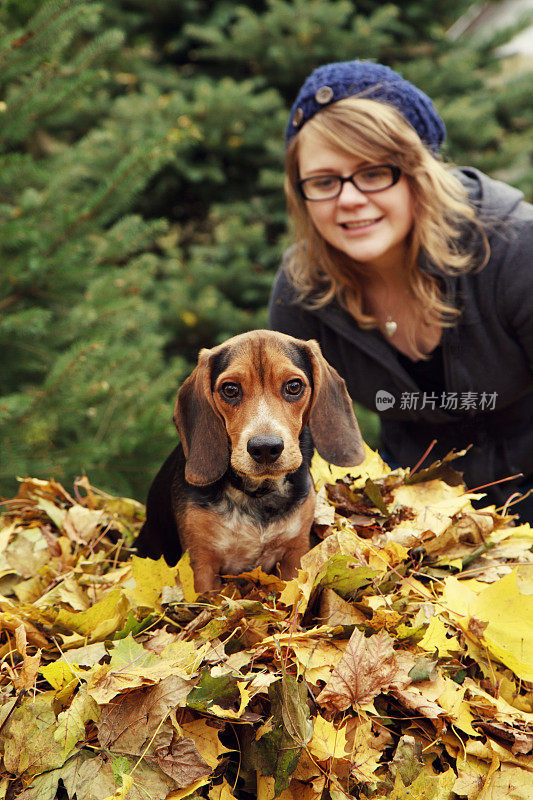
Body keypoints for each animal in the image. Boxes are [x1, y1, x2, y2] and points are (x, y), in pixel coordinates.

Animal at [135, 326, 364, 592]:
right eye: (230, 389)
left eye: (294, 386)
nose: (265, 448)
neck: (258, 494)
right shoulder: (201, 564)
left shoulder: (295, 553)